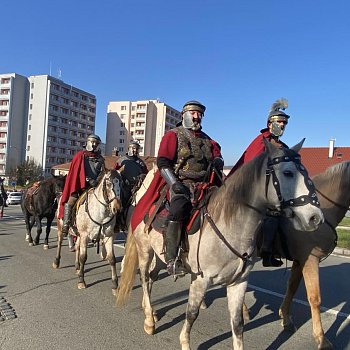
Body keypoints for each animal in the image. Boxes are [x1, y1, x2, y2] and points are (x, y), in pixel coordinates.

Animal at [115, 140, 322, 350]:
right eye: (288, 173)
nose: (315, 218)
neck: (232, 227)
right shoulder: (200, 280)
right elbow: (192, 313)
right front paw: (185, 342)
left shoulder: (239, 282)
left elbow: (237, 323)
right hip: (145, 251)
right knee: (144, 277)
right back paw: (149, 320)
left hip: (161, 256)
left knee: (151, 277)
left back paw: (149, 311)